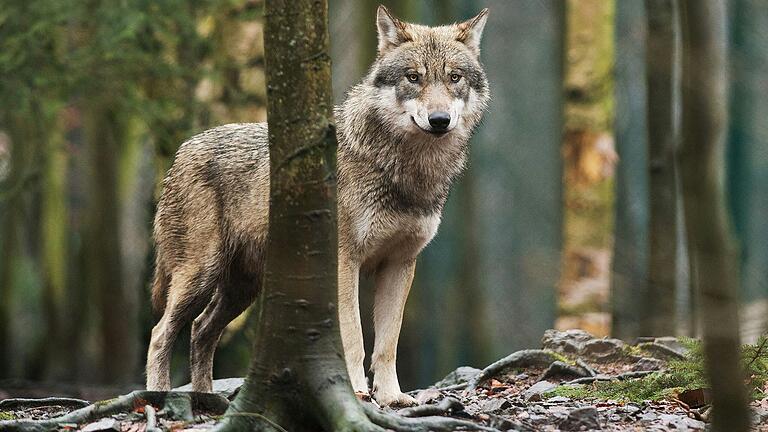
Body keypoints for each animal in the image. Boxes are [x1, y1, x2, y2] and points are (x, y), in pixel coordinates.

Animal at [147, 5, 488, 406]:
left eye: (454, 78)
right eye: (413, 77)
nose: (439, 120)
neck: (406, 170)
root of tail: (181, 151)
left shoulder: (400, 264)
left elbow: (388, 343)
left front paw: (392, 397)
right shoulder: (344, 262)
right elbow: (354, 338)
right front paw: (356, 392)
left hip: (242, 289)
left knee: (201, 330)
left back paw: (206, 400)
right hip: (201, 275)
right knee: (160, 334)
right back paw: (158, 398)